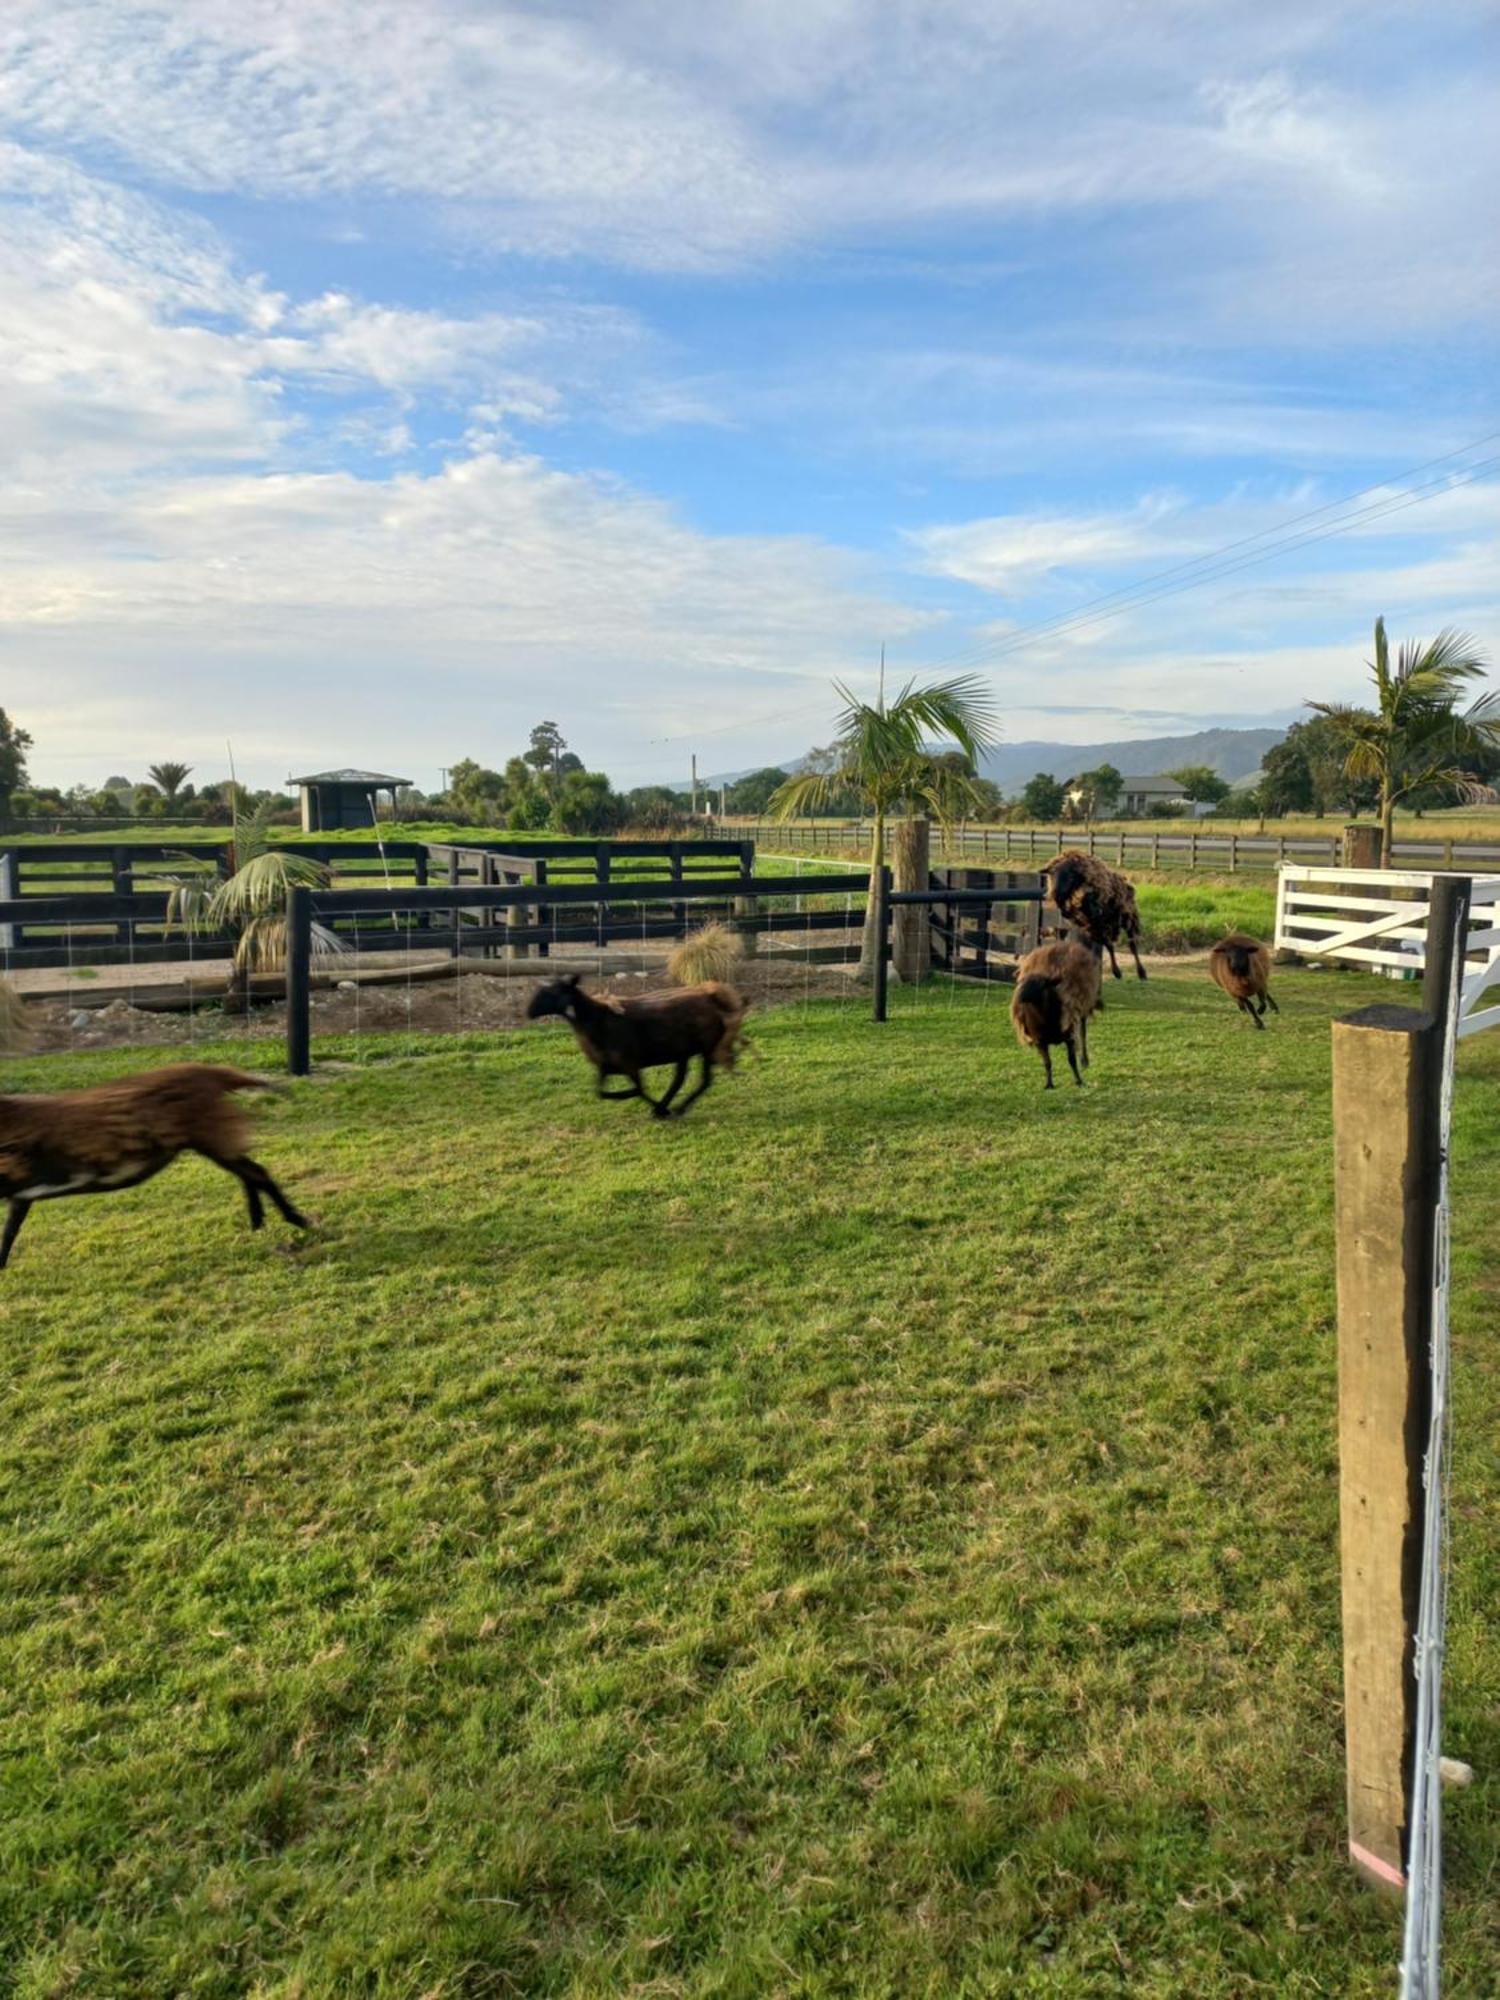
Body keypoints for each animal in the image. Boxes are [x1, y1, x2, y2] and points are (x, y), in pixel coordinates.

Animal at [0, 1064, 310, 1264]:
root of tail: (218, 1076)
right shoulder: (21, 1193)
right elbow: (11, 1228)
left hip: (214, 1136)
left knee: (256, 1172)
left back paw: (298, 1221)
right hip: (215, 1141)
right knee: (250, 1173)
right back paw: (259, 1223)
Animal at [528, 972, 752, 1120]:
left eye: (554, 991)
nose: (529, 1011)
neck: (597, 1019)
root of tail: (710, 995)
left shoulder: (629, 1063)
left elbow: (639, 1090)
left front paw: (659, 1110)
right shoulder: (605, 1066)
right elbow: (601, 1093)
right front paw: (659, 1109)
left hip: (707, 1046)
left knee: (704, 1081)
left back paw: (677, 1108)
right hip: (684, 1051)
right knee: (680, 1079)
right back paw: (671, 1105)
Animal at [1012, 932, 1104, 1088]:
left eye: (1041, 984)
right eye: (1022, 981)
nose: (1019, 996)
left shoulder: (1069, 1036)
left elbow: (1071, 1060)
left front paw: (1079, 1081)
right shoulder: (1040, 1041)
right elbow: (1047, 1063)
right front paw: (1049, 1084)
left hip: (1082, 1011)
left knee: (1083, 1033)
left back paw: (1084, 1059)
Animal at [1048, 852, 1152, 984]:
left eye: (1069, 876)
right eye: (1052, 876)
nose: (1055, 894)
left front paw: (1119, 972)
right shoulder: (1094, 928)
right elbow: (1109, 946)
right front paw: (1116, 972)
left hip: (1128, 919)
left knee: (1132, 945)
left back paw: (1141, 972)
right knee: (1113, 945)